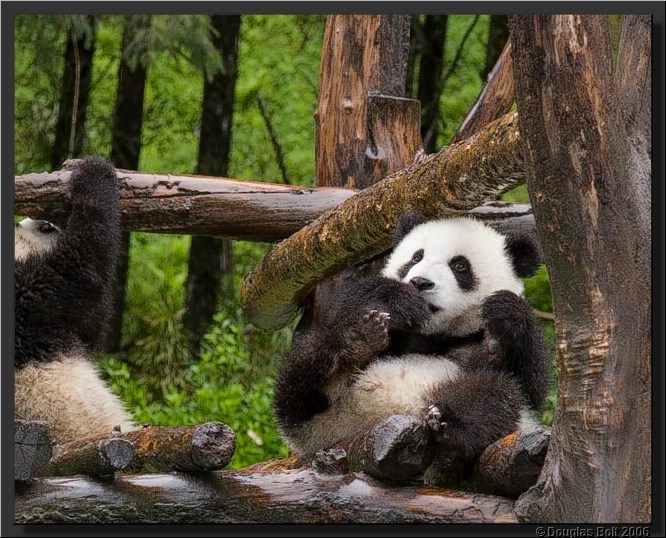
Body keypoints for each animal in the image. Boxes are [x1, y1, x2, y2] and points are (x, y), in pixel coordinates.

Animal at [14, 155, 136, 444]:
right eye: (45, 228)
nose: (46, 222)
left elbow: (91, 327)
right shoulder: (37, 296)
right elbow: (86, 265)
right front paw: (94, 170)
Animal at [273, 211, 550, 483]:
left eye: (459, 266)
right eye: (416, 256)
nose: (420, 282)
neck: (434, 334)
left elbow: (529, 385)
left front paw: (506, 312)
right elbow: (352, 301)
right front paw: (400, 300)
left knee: (495, 393)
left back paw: (448, 428)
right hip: (310, 411)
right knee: (303, 369)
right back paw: (357, 342)